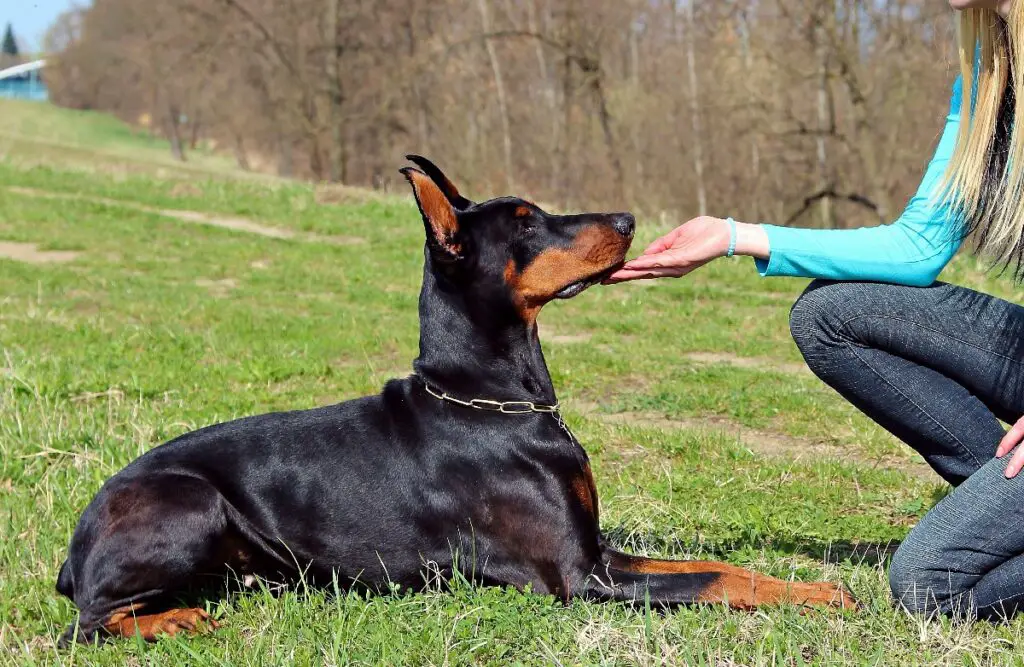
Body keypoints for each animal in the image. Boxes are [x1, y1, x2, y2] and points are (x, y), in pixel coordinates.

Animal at [56, 156, 856, 647]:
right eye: (527, 220)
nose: (629, 219)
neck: (490, 400)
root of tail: (74, 549)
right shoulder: (579, 577)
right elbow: (713, 578)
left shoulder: (597, 550)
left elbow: (725, 569)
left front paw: (821, 590)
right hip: (191, 501)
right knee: (85, 622)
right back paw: (173, 621)